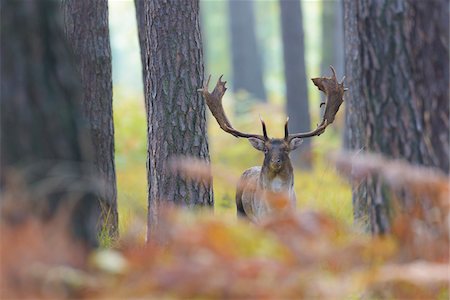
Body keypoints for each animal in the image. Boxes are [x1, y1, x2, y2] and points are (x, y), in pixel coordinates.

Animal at [199, 67, 346, 224]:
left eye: (286, 150)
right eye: (265, 149)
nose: (276, 161)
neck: (277, 209)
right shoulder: (261, 218)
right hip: (240, 210)